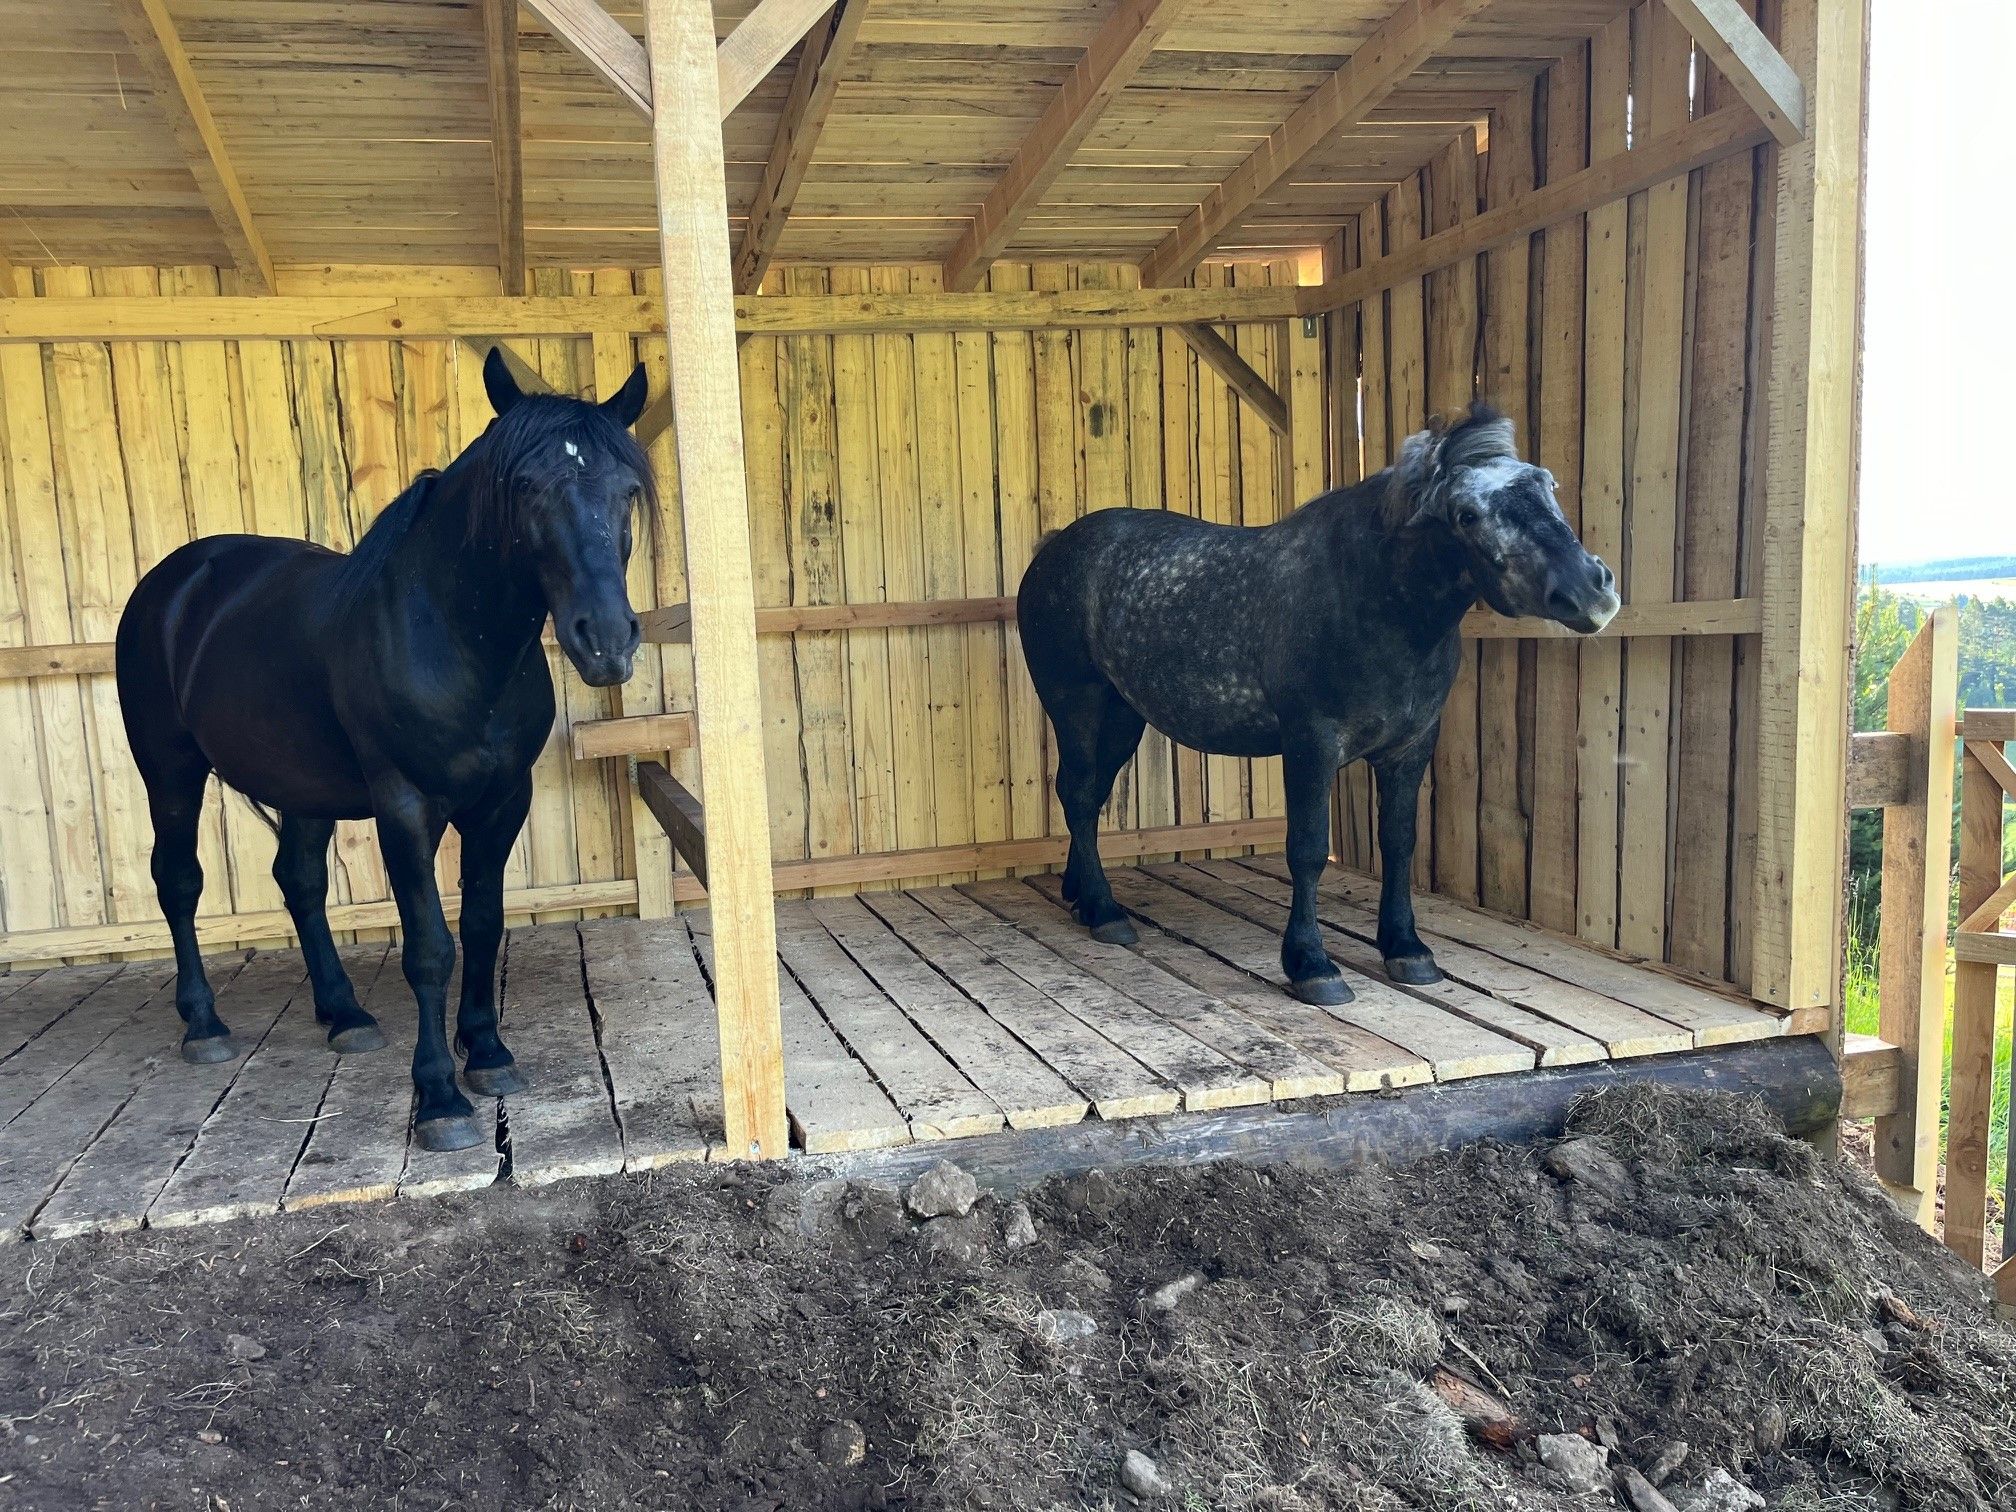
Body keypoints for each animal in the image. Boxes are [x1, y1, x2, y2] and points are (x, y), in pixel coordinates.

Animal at [115, 349, 652, 1152]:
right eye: (525, 486)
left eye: (627, 491)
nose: (607, 642)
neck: (457, 642)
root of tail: (172, 583)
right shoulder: (405, 809)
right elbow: (429, 946)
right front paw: (439, 1099)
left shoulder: (502, 803)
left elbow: (484, 926)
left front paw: (487, 1054)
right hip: (170, 773)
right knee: (179, 882)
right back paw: (204, 1025)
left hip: (299, 786)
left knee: (299, 881)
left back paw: (345, 1015)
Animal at [1017, 402, 1619, 1006]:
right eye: (1467, 515)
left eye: (1547, 483)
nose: (1590, 590)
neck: (1376, 601)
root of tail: (1054, 549)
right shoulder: (1311, 743)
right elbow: (1307, 850)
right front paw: (1312, 964)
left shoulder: (1410, 745)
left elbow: (1399, 843)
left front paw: (1407, 948)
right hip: (1076, 703)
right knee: (1077, 792)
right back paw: (1105, 912)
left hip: (1122, 714)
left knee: (1090, 794)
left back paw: (1081, 895)